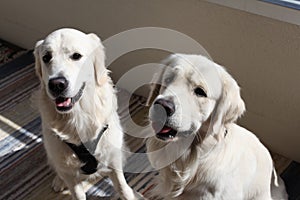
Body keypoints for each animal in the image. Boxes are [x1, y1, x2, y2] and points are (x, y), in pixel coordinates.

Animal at [33, 28, 144, 200]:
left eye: (76, 56)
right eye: (46, 57)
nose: (57, 84)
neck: (78, 117)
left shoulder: (113, 159)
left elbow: (122, 186)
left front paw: (130, 194)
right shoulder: (70, 175)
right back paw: (59, 181)